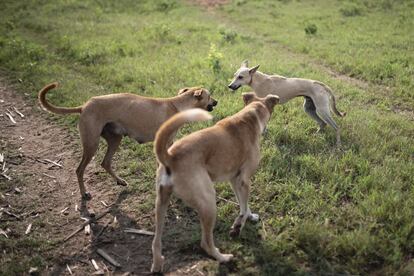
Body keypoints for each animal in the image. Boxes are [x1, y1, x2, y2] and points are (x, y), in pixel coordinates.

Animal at [38, 82, 218, 203]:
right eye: (210, 96)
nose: (217, 102)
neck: (177, 105)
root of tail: (84, 106)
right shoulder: (165, 145)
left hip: (114, 140)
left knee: (105, 163)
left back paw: (120, 180)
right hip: (91, 144)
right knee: (79, 170)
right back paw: (84, 193)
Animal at [150, 92, 280, 272]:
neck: (250, 115)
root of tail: (170, 156)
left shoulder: (235, 180)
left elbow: (244, 204)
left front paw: (249, 216)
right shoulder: (244, 180)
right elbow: (243, 206)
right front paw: (238, 226)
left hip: (161, 203)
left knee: (156, 242)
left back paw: (157, 264)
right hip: (209, 202)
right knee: (205, 243)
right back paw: (223, 258)